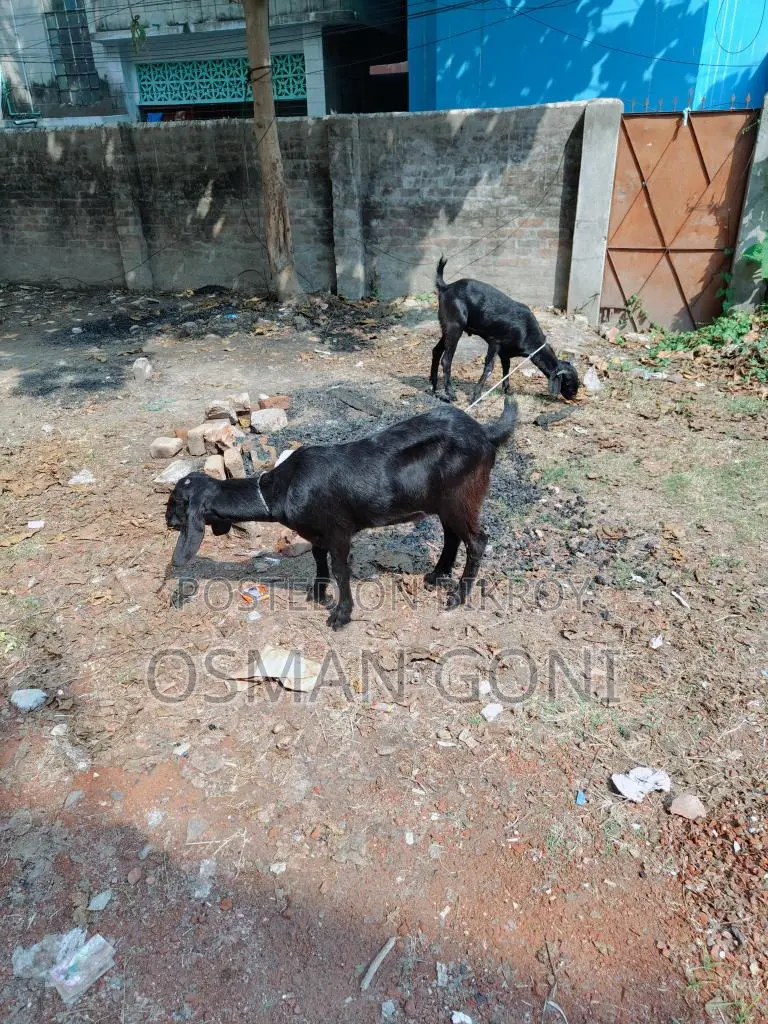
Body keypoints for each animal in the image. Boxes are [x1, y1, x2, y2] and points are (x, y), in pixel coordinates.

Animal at [165, 397, 518, 630]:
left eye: (176, 501)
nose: (167, 521)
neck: (281, 488)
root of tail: (485, 434)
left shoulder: (339, 531)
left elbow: (340, 569)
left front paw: (340, 615)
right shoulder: (317, 532)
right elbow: (318, 560)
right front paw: (318, 594)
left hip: (462, 496)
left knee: (476, 541)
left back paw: (458, 596)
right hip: (444, 501)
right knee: (452, 536)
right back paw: (435, 576)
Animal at [430, 257, 580, 403]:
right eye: (567, 382)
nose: (574, 397)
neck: (527, 332)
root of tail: (446, 287)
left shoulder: (505, 352)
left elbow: (506, 368)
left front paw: (507, 391)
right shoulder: (495, 342)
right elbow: (489, 368)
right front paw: (476, 396)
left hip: (447, 328)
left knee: (436, 351)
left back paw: (433, 386)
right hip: (454, 326)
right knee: (446, 360)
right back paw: (450, 394)